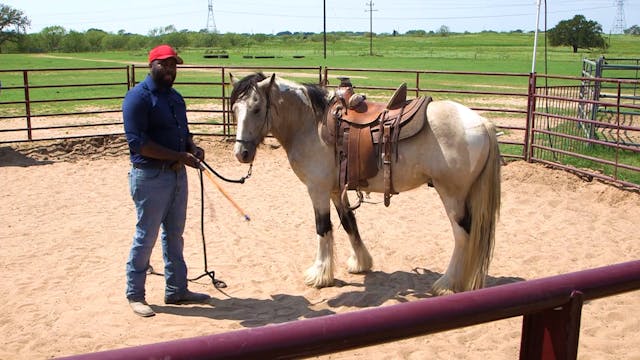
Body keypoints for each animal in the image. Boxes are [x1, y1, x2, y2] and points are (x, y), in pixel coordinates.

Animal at [229, 72, 500, 296]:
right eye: (234, 109)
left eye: (256, 109)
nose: (241, 153)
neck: (311, 124)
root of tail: (482, 123)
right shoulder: (336, 190)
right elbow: (349, 222)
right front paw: (360, 263)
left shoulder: (317, 190)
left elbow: (322, 228)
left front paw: (319, 275)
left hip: (452, 195)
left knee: (463, 235)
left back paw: (446, 283)